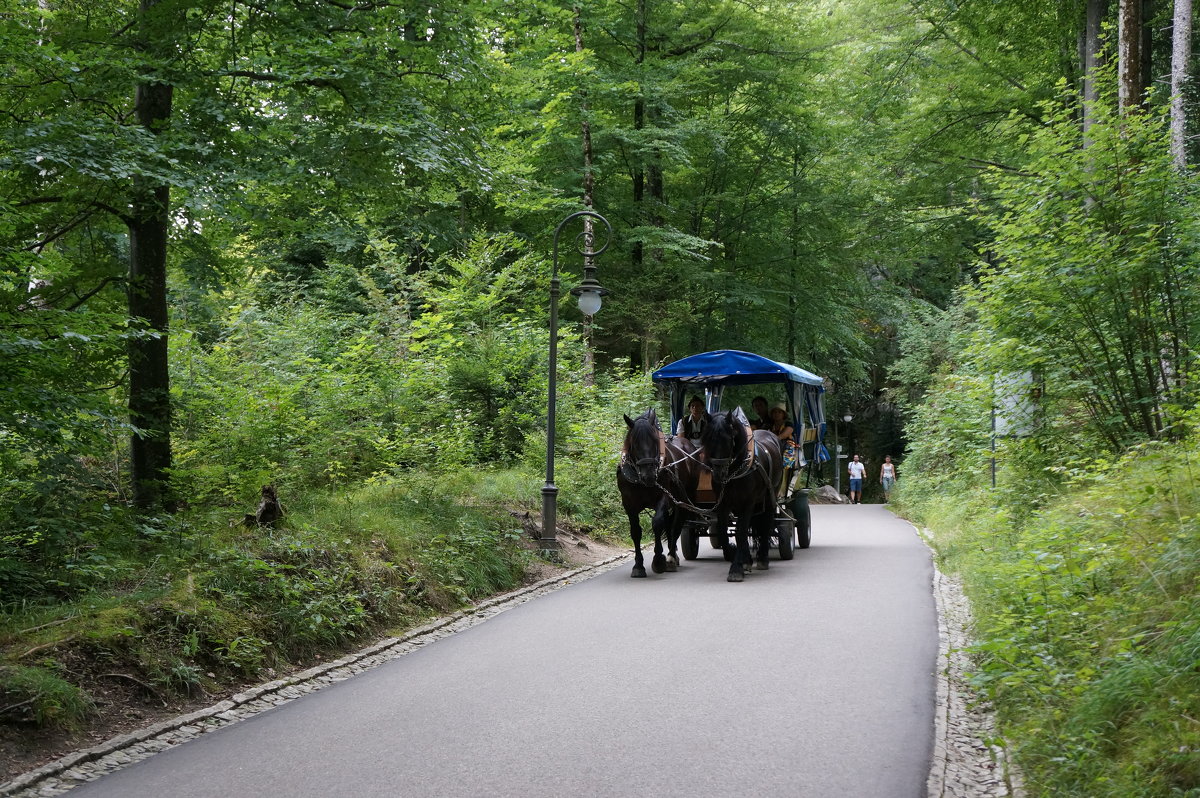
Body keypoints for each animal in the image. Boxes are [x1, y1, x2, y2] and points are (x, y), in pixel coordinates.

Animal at [619, 408, 700, 576]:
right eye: (634, 443)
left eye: (655, 440)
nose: (649, 475)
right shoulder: (629, 504)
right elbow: (635, 531)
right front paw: (638, 566)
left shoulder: (664, 499)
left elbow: (657, 524)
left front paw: (658, 560)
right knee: (670, 525)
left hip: (683, 500)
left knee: (676, 526)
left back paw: (671, 557)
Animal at [700, 410, 782, 578]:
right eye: (708, 439)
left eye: (728, 439)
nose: (718, 474)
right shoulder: (723, 503)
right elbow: (724, 531)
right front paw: (740, 559)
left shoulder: (748, 503)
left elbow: (741, 532)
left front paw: (736, 568)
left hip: (770, 497)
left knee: (766, 524)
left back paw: (763, 559)